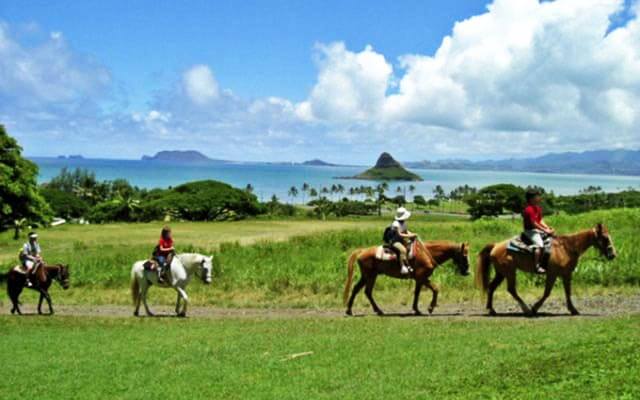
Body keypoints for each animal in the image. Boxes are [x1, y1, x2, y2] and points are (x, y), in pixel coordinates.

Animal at [476, 222, 616, 316]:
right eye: (605, 238)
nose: (613, 254)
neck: (566, 248)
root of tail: (495, 245)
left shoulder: (566, 274)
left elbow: (568, 292)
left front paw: (573, 310)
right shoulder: (552, 274)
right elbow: (547, 292)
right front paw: (535, 308)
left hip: (501, 273)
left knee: (491, 287)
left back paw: (491, 310)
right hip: (509, 272)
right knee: (511, 289)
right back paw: (526, 310)